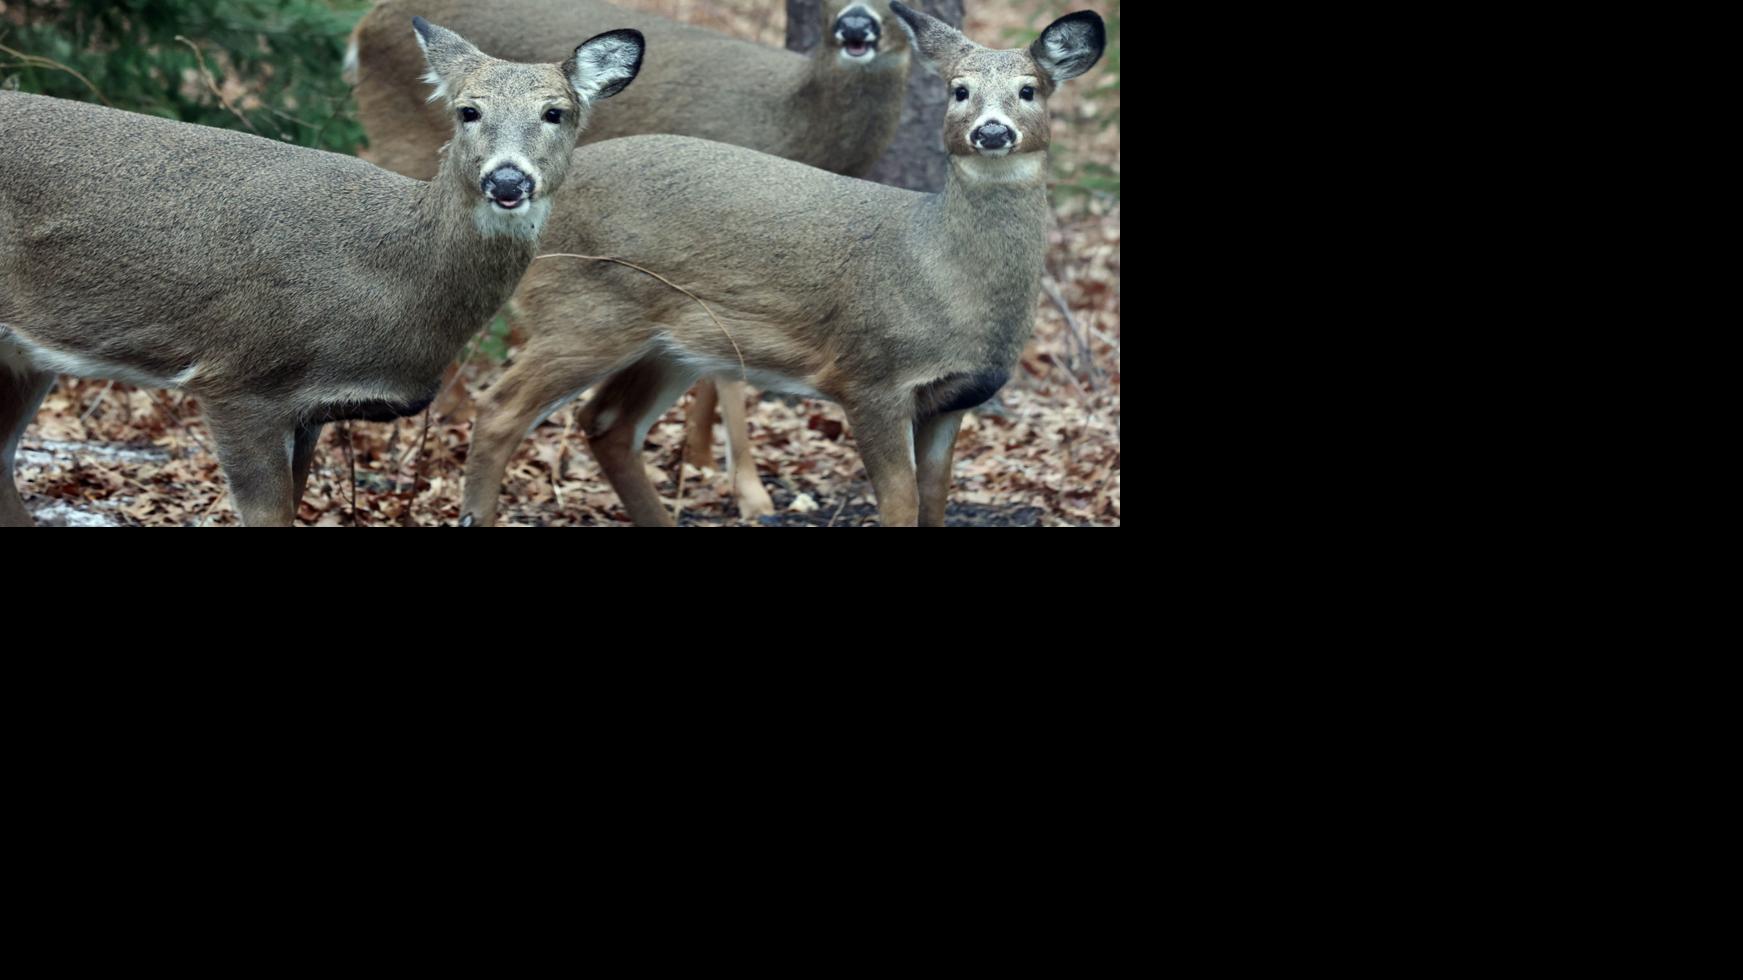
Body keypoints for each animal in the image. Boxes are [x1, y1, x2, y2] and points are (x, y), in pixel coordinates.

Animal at [0, 19, 644, 527]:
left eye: (555, 113)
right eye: (469, 110)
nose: (507, 179)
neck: (394, 277)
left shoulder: (308, 408)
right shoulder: (239, 377)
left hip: (23, 356)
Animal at [350, 0, 915, 520]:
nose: (855, 25)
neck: (794, 115)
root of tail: (368, 24)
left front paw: (703, 459)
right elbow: (730, 372)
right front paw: (751, 494)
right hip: (402, 147)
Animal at [457, 3, 1105, 527]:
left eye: (1030, 89)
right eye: (959, 90)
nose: (991, 131)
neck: (940, 272)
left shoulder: (954, 400)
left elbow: (935, 504)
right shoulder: (870, 376)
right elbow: (899, 504)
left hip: (670, 343)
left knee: (608, 423)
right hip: (583, 314)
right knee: (499, 409)